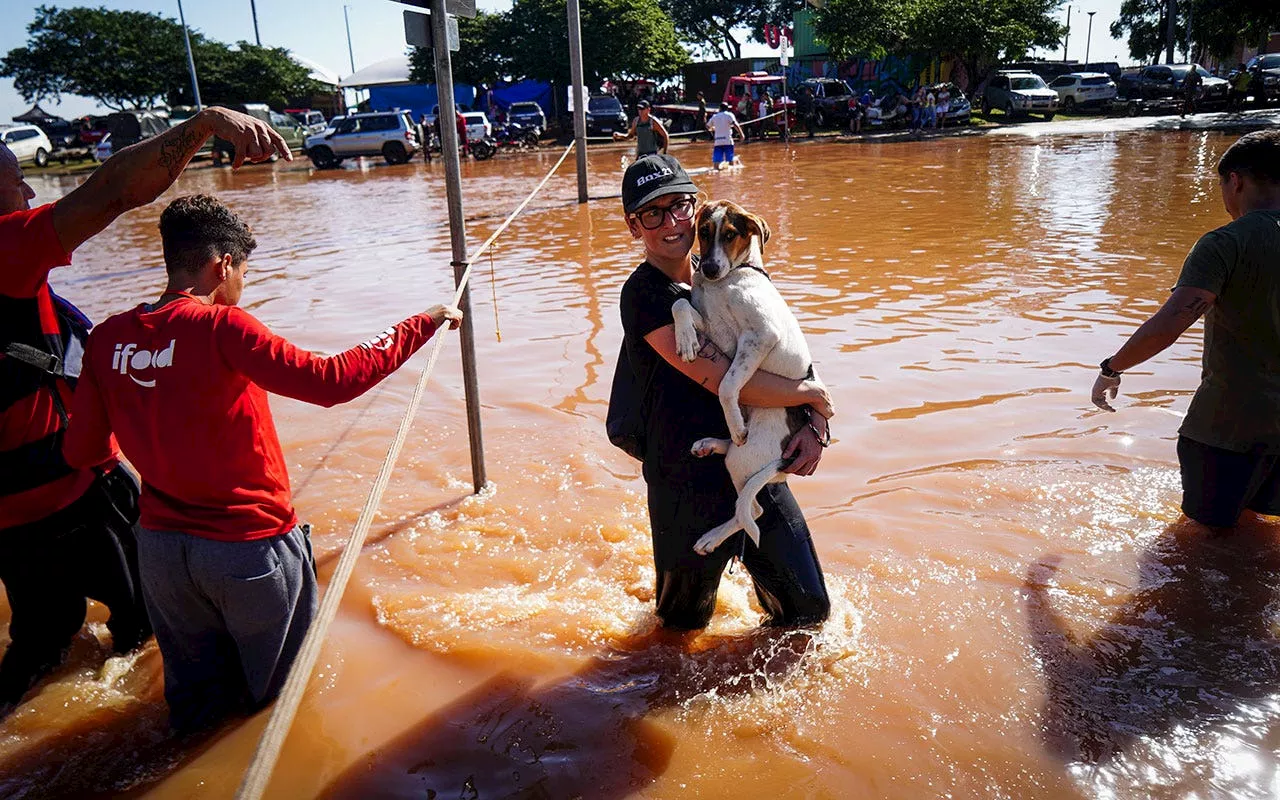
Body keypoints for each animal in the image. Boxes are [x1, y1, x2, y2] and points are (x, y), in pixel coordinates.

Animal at [670, 197, 819, 552]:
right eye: (703, 231)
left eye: (731, 235)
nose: (709, 269)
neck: (727, 280)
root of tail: (784, 464)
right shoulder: (712, 326)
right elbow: (679, 306)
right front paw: (684, 338)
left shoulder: (760, 336)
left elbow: (727, 386)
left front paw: (736, 426)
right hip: (741, 460)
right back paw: (711, 443)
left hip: (745, 456)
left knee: (751, 511)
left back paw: (711, 537)